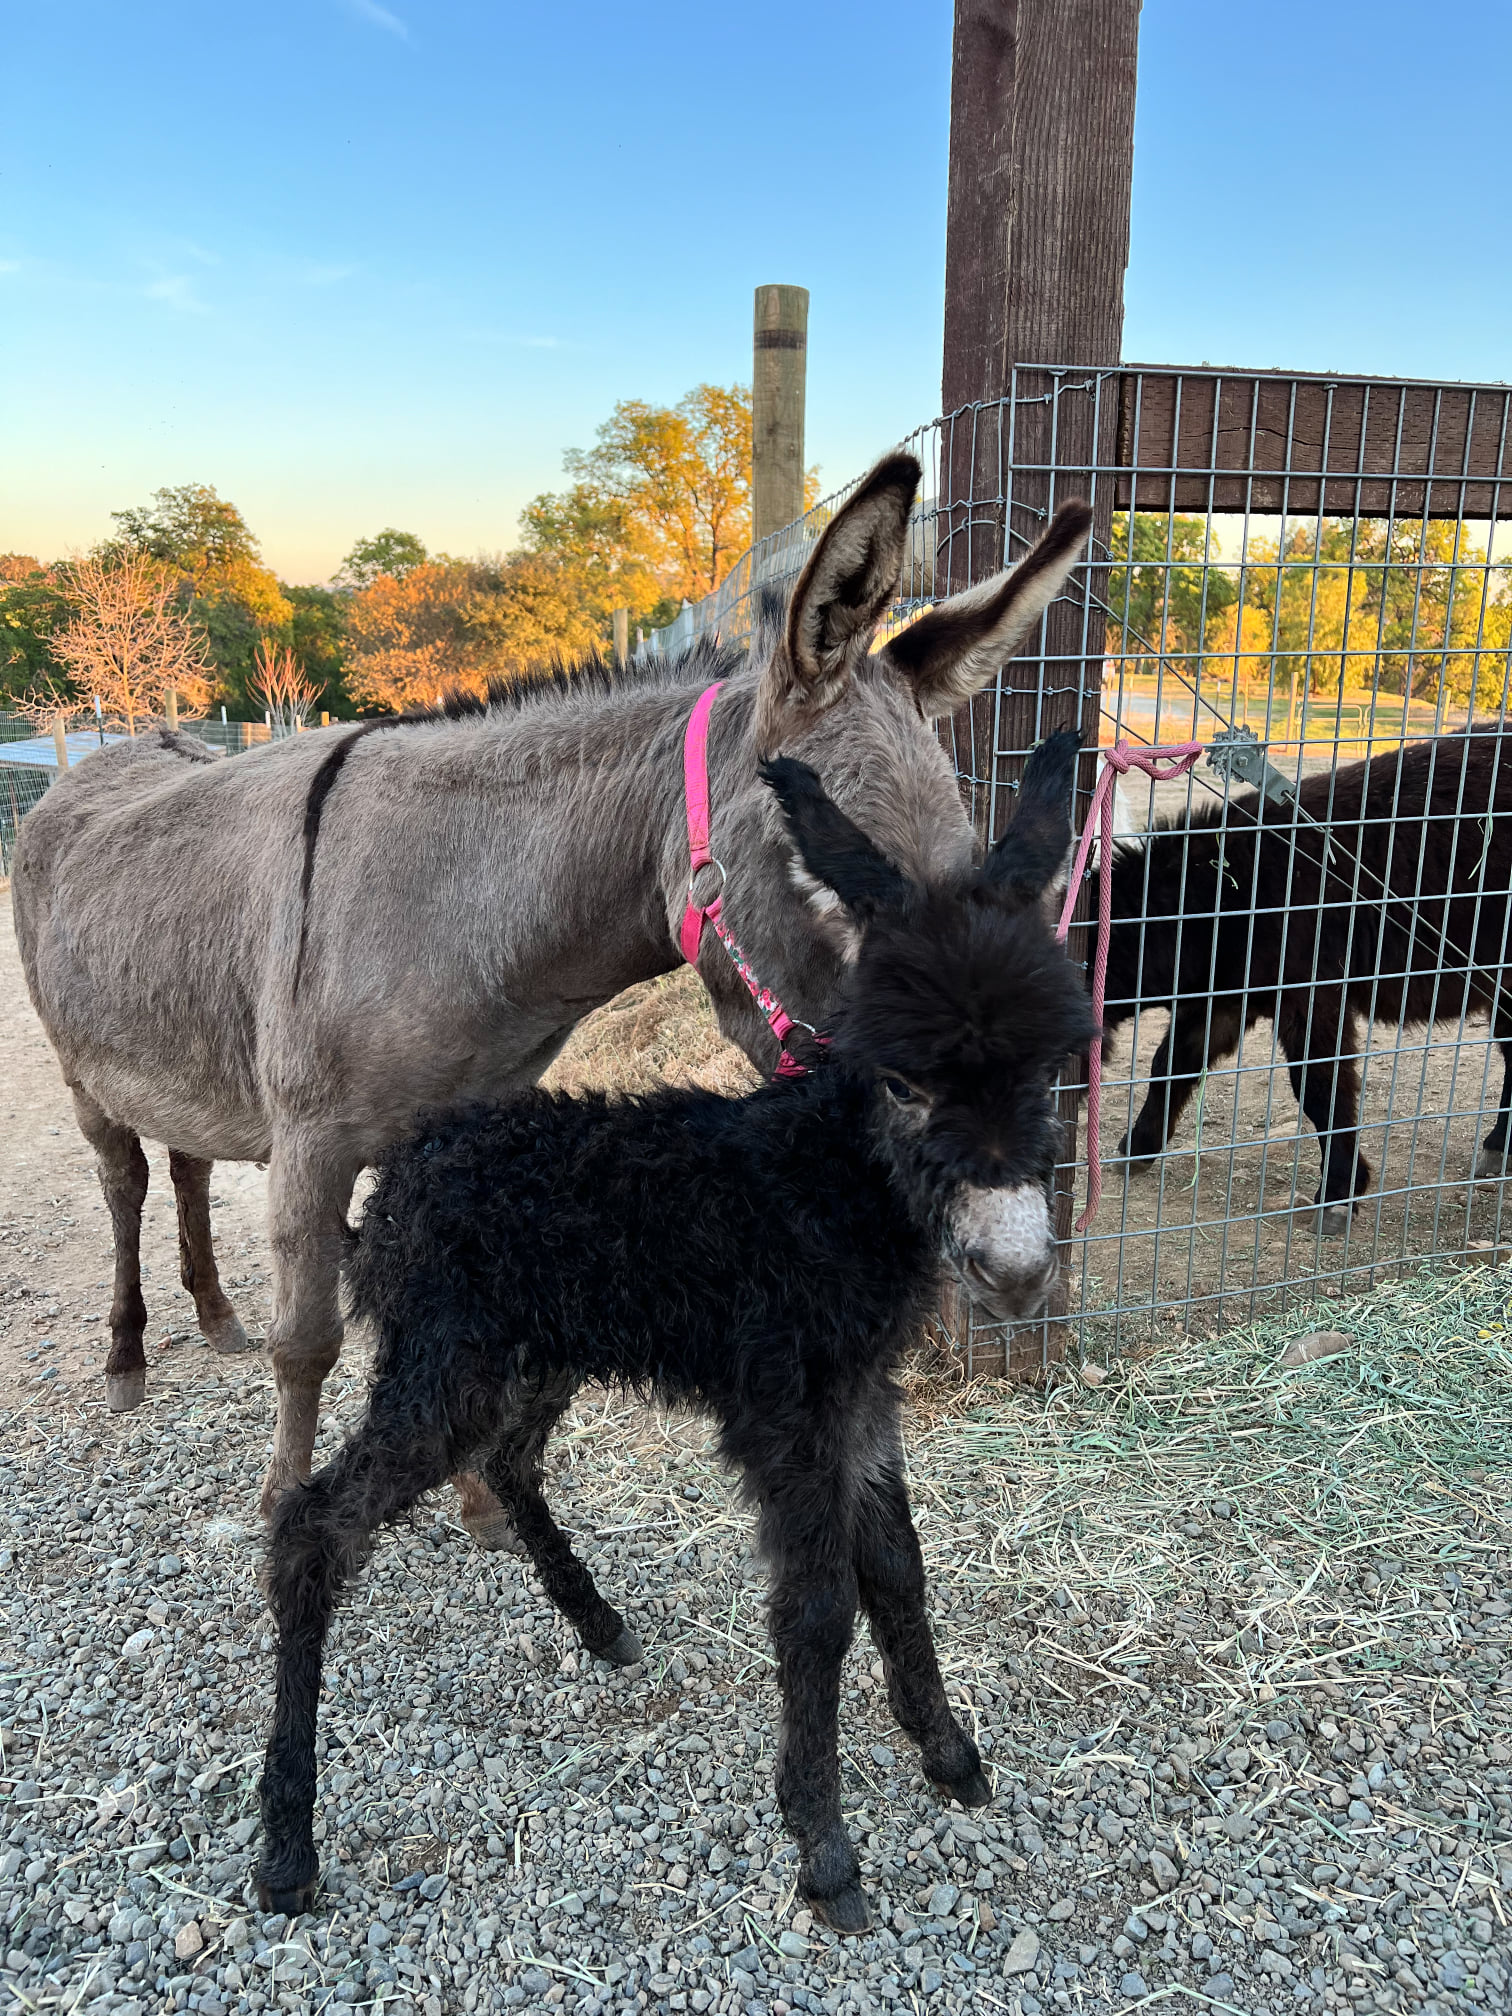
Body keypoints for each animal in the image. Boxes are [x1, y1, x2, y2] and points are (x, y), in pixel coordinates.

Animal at [255, 733, 1096, 1927]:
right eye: (900, 1079)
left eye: (1051, 1064)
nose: (1017, 1270)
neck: (830, 1180)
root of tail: (397, 1181)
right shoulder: (788, 1405)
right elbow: (819, 1604)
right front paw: (824, 1846)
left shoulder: (860, 1395)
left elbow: (897, 1566)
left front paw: (945, 1750)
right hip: (446, 1368)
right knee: (316, 1529)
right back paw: (287, 1843)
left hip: (536, 1355)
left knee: (509, 1463)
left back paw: (597, 1623)